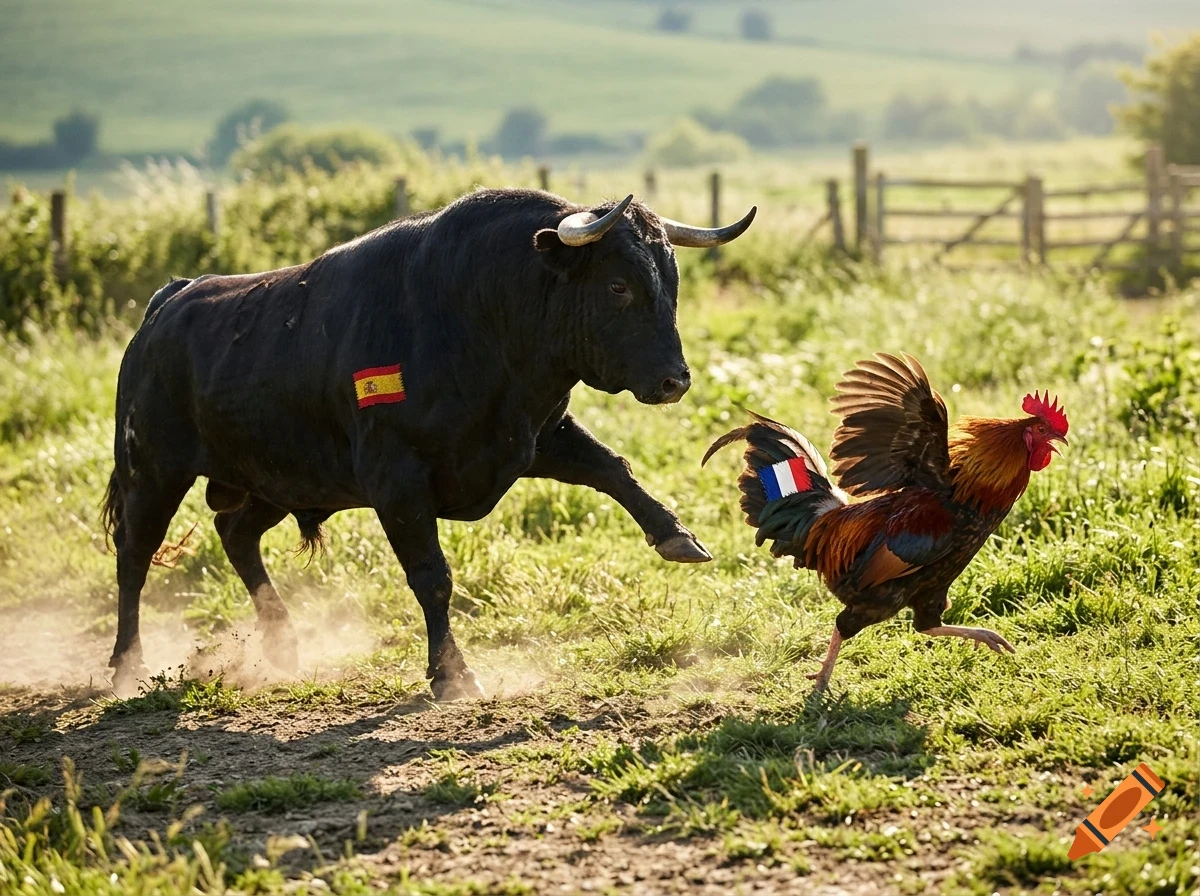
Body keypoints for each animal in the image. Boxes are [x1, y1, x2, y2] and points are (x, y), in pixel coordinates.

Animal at [100, 188, 755, 699]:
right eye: (618, 285)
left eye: (670, 281)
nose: (675, 380)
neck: (477, 314)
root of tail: (168, 302)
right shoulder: (397, 480)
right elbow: (432, 576)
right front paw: (452, 675)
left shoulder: (536, 437)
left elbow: (615, 470)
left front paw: (677, 535)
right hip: (152, 470)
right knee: (135, 556)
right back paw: (127, 666)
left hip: (278, 480)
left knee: (235, 535)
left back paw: (282, 644)